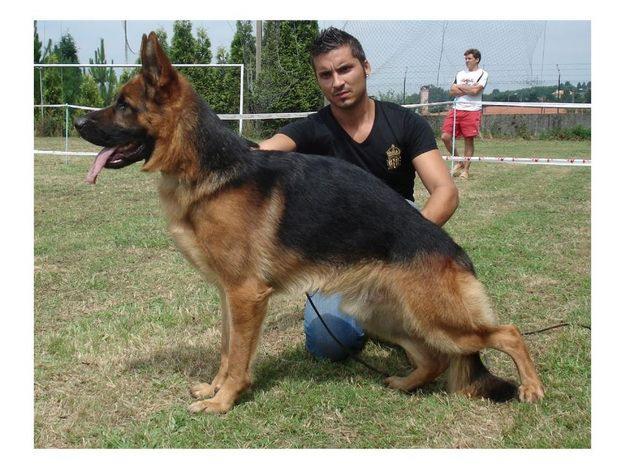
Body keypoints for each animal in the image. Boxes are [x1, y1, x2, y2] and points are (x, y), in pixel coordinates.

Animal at [72, 33, 540, 414]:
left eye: (124, 105)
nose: (76, 122)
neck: (209, 168)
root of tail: (454, 251)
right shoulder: (228, 294)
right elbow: (226, 347)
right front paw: (215, 389)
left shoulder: (246, 294)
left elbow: (238, 356)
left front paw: (225, 401)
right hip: (385, 316)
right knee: (435, 358)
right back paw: (405, 383)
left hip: (439, 319)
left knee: (508, 333)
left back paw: (531, 389)